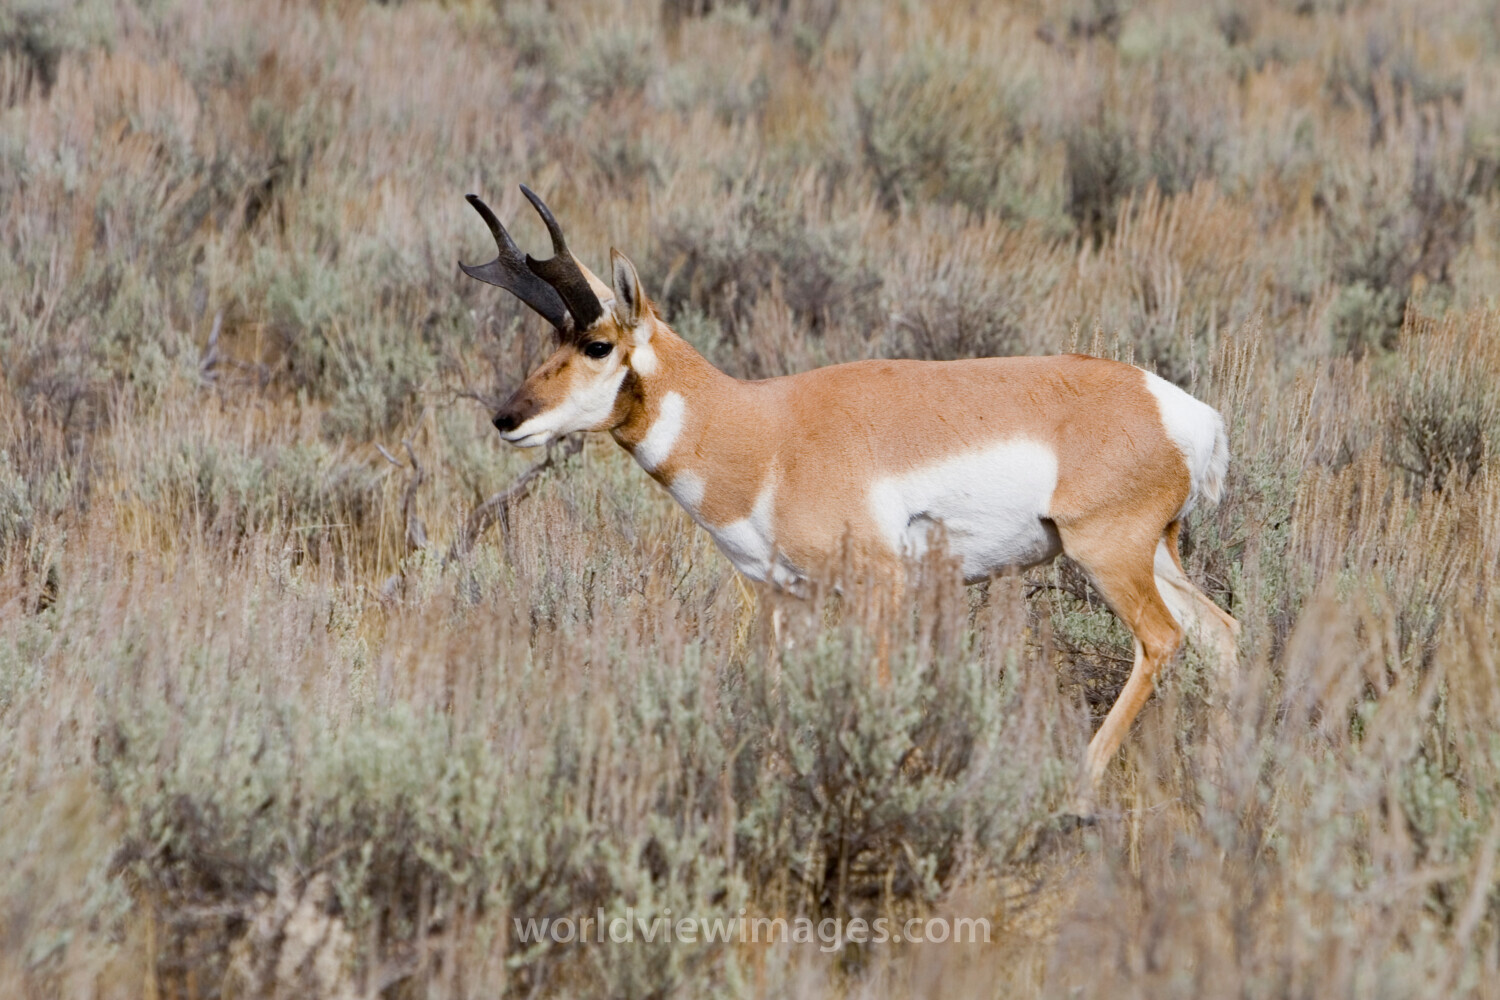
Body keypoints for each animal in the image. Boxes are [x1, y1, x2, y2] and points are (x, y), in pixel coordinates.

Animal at [459, 186, 1240, 815]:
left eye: (597, 344)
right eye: (551, 338)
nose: (506, 417)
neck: (763, 428)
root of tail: (1177, 407)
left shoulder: (880, 587)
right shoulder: (784, 598)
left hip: (1106, 554)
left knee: (1163, 640)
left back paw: (1080, 792)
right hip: (1155, 554)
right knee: (1222, 635)